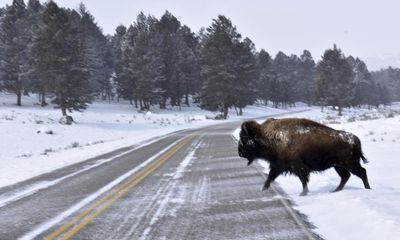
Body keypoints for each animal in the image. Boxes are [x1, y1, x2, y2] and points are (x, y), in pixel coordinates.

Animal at [238, 117, 372, 195]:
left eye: (244, 138)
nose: (240, 152)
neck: (267, 136)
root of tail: (355, 139)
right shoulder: (278, 166)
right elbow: (270, 178)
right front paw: (263, 189)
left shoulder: (298, 167)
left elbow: (303, 179)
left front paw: (303, 193)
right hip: (338, 166)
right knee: (346, 176)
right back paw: (335, 190)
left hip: (349, 164)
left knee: (362, 172)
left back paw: (368, 189)